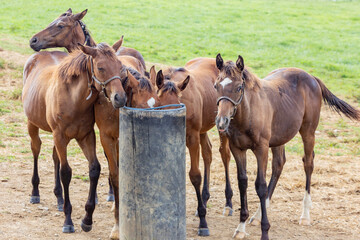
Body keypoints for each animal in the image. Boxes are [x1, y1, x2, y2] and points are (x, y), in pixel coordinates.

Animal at [21, 42, 127, 233]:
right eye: (101, 67)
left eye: (120, 67)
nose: (120, 98)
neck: (73, 99)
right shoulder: (60, 136)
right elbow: (66, 172)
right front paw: (68, 220)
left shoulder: (86, 136)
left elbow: (94, 168)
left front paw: (87, 219)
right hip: (32, 124)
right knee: (36, 148)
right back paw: (35, 192)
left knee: (55, 157)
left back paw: (59, 197)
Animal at [157, 57, 232, 235]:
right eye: (158, 103)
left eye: (178, 105)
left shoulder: (192, 138)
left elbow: (195, 175)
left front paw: (203, 223)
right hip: (203, 130)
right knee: (208, 153)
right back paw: (204, 200)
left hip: (220, 126)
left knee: (224, 154)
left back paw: (228, 203)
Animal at [215, 53, 358, 239]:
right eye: (216, 86)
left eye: (239, 87)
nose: (221, 121)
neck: (247, 114)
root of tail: (311, 77)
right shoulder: (237, 149)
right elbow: (243, 182)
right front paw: (241, 227)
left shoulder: (261, 149)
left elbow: (260, 185)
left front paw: (265, 231)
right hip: (279, 138)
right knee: (279, 164)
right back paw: (258, 215)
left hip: (308, 132)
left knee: (308, 163)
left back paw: (305, 215)